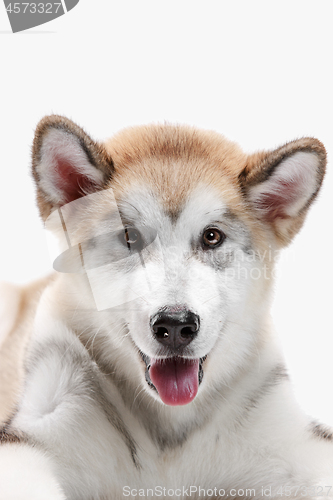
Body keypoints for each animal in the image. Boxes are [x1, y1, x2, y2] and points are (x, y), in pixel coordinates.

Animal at [0, 117, 332, 500]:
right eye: (129, 237)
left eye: (212, 237)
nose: (175, 325)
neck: (168, 433)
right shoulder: (34, 433)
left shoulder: (295, 439)